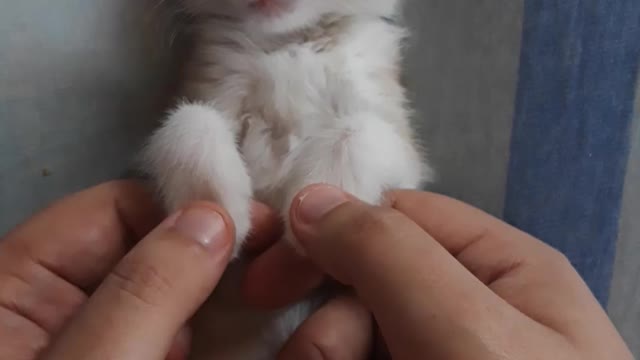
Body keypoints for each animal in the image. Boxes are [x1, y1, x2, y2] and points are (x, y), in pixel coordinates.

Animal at [140, 0, 430, 358]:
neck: (290, 43)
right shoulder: (214, 84)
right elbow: (190, 117)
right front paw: (210, 207)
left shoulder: (397, 134)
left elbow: (360, 128)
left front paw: (324, 192)